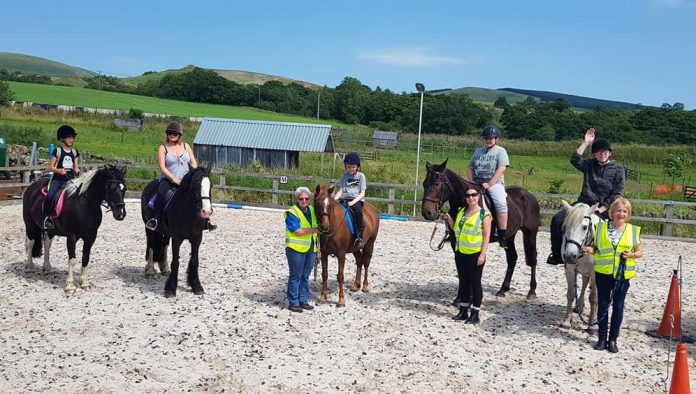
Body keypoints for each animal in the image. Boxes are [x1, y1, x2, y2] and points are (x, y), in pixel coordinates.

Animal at [22, 165, 128, 294]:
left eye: (124, 189)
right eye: (112, 189)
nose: (121, 214)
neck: (84, 204)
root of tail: (31, 186)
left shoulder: (90, 237)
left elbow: (85, 258)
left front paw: (84, 283)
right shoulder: (72, 237)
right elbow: (72, 260)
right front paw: (70, 286)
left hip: (50, 230)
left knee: (47, 244)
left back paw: (47, 267)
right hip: (29, 224)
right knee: (30, 243)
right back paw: (29, 267)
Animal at [143, 165, 213, 298]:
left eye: (210, 186)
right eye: (196, 186)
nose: (206, 211)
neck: (188, 213)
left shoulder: (197, 238)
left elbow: (194, 261)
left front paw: (196, 286)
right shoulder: (177, 238)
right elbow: (175, 262)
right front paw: (170, 289)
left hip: (165, 232)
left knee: (164, 245)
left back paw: (164, 269)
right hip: (148, 228)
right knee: (151, 246)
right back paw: (150, 271)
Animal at [422, 160, 540, 298]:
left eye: (436, 184)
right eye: (424, 184)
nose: (427, 213)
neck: (466, 203)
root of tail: (528, 195)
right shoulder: (456, 243)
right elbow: (462, 271)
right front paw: (461, 298)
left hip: (530, 233)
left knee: (533, 259)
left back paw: (532, 291)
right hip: (510, 236)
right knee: (512, 258)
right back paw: (503, 289)